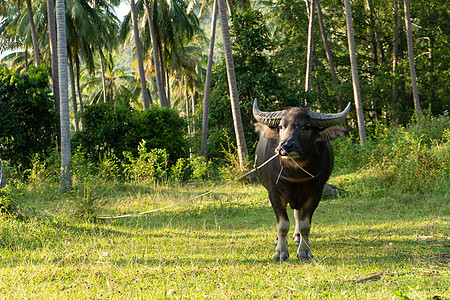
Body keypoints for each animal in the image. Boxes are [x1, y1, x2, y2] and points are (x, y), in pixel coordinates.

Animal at [253, 99, 352, 262]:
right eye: (281, 126)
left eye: (306, 126)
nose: (286, 146)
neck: (296, 173)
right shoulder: (274, 192)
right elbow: (282, 224)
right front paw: (281, 252)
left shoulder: (315, 193)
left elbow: (305, 224)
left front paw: (304, 251)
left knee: (297, 214)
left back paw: (298, 236)